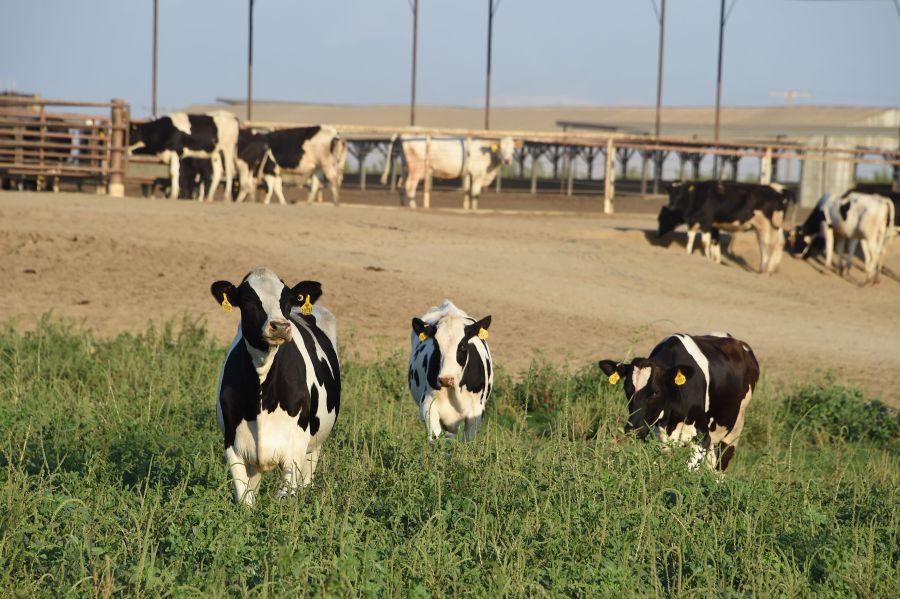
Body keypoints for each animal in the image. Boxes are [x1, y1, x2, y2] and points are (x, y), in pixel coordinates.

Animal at [211, 268, 342, 506]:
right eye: (248, 300)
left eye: (288, 300)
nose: (280, 325)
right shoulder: (233, 445)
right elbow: (245, 501)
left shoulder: (295, 449)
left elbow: (285, 499)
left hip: (314, 447)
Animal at [382, 135, 520, 210]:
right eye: (501, 147)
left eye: (512, 148)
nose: (507, 160)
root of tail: (405, 135)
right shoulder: (477, 174)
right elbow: (475, 194)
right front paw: (474, 209)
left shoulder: (469, 174)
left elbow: (468, 192)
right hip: (417, 170)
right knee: (409, 186)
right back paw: (413, 206)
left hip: (406, 168)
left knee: (400, 185)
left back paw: (403, 204)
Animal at [412, 300, 496, 440]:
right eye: (436, 345)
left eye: (462, 346)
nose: (446, 379)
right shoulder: (428, 407)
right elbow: (435, 439)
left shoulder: (475, 413)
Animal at [596, 332, 760, 474]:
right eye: (627, 389)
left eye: (655, 392)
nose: (633, 430)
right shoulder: (658, 439)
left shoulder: (702, 438)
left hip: (734, 429)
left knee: (720, 468)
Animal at [652, 182, 796, 276]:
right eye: (671, 194)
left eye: (662, 218)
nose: (657, 235)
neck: (698, 196)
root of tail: (779, 189)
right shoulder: (709, 225)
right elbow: (709, 242)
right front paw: (713, 260)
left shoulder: (706, 223)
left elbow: (705, 242)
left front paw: (707, 258)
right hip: (768, 227)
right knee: (771, 244)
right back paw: (765, 269)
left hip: (767, 225)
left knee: (769, 244)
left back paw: (767, 269)